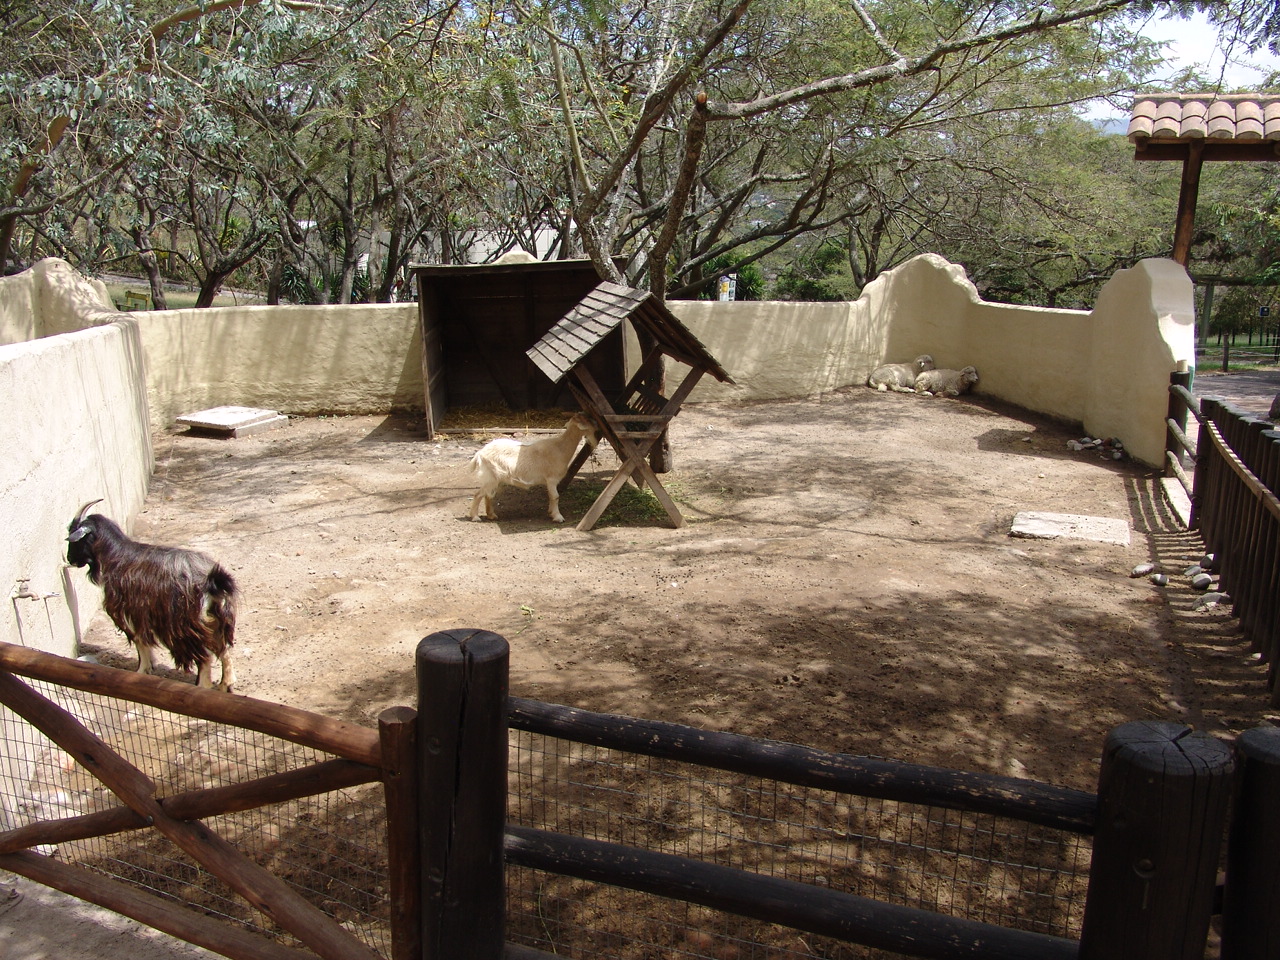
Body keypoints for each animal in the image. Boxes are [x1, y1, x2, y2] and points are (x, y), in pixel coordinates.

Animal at [65, 500, 238, 691]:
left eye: (74, 536)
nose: (69, 558)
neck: (117, 556)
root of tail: (213, 581)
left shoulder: (128, 610)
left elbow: (139, 640)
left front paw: (141, 670)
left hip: (186, 626)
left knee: (204, 657)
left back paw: (202, 686)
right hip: (217, 619)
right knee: (223, 649)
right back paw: (225, 684)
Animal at [469, 414, 599, 523]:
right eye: (588, 420)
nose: (597, 426)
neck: (560, 447)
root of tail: (480, 453)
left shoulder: (550, 481)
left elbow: (551, 496)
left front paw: (551, 512)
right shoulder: (551, 479)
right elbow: (555, 496)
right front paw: (558, 517)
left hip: (497, 479)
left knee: (488, 495)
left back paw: (491, 515)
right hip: (490, 477)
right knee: (478, 494)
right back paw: (475, 517)